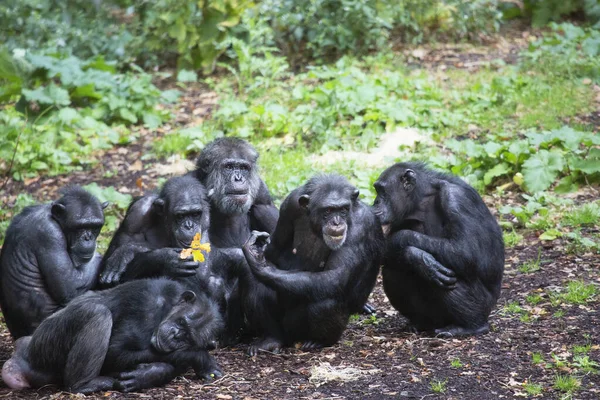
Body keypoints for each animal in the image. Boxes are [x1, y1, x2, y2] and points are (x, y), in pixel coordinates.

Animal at [2, 278, 223, 394]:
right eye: (182, 322)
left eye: (187, 337)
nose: (175, 335)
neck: (167, 306)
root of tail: (21, 358)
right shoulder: (146, 305)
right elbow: (115, 351)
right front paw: (201, 358)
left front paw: (150, 374)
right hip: (46, 343)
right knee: (97, 312)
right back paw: (85, 384)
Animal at [240, 175, 384, 354]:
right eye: (328, 210)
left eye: (343, 210)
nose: (337, 222)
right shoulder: (290, 205)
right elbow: (275, 248)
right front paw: (257, 247)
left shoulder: (360, 225)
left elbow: (335, 276)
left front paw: (261, 265)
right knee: (252, 280)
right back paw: (271, 339)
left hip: (296, 327)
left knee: (325, 299)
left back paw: (317, 341)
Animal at [372, 162, 504, 338]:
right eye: (377, 190)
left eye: (382, 191)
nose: (376, 201)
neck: (420, 201)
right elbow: (389, 257)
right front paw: (420, 260)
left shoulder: (456, 199)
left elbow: (465, 251)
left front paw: (397, 240)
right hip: (433, 316)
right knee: (394, 269)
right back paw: (420, 323)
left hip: (483, 306)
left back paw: (471, 326)